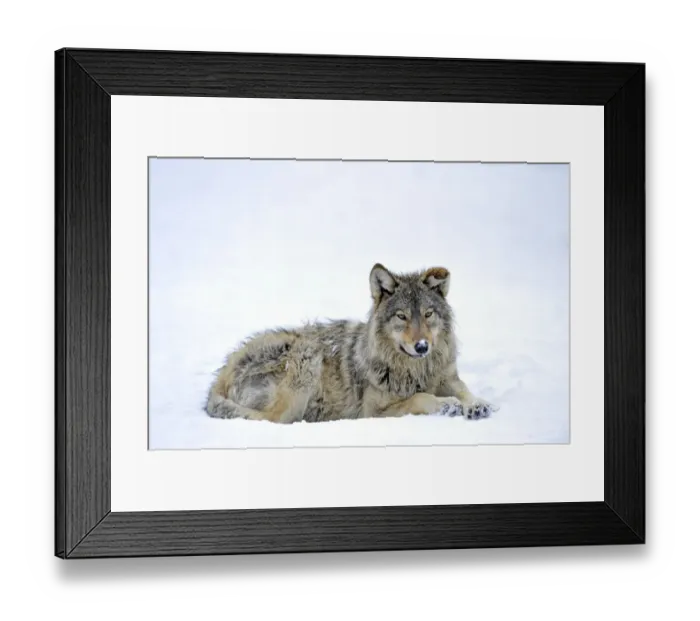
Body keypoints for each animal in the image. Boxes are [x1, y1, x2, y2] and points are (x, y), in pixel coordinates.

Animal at [206, 264, 497, 424]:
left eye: (428, 314)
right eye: (402, 316)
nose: (422, 347)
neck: (415, 370)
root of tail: (219, 378)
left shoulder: (448, 377)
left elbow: (464, 390)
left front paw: (477, 404)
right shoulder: (373, 412)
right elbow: (421, 398)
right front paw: (448, 405)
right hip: (306, 357)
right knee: (269, 420)